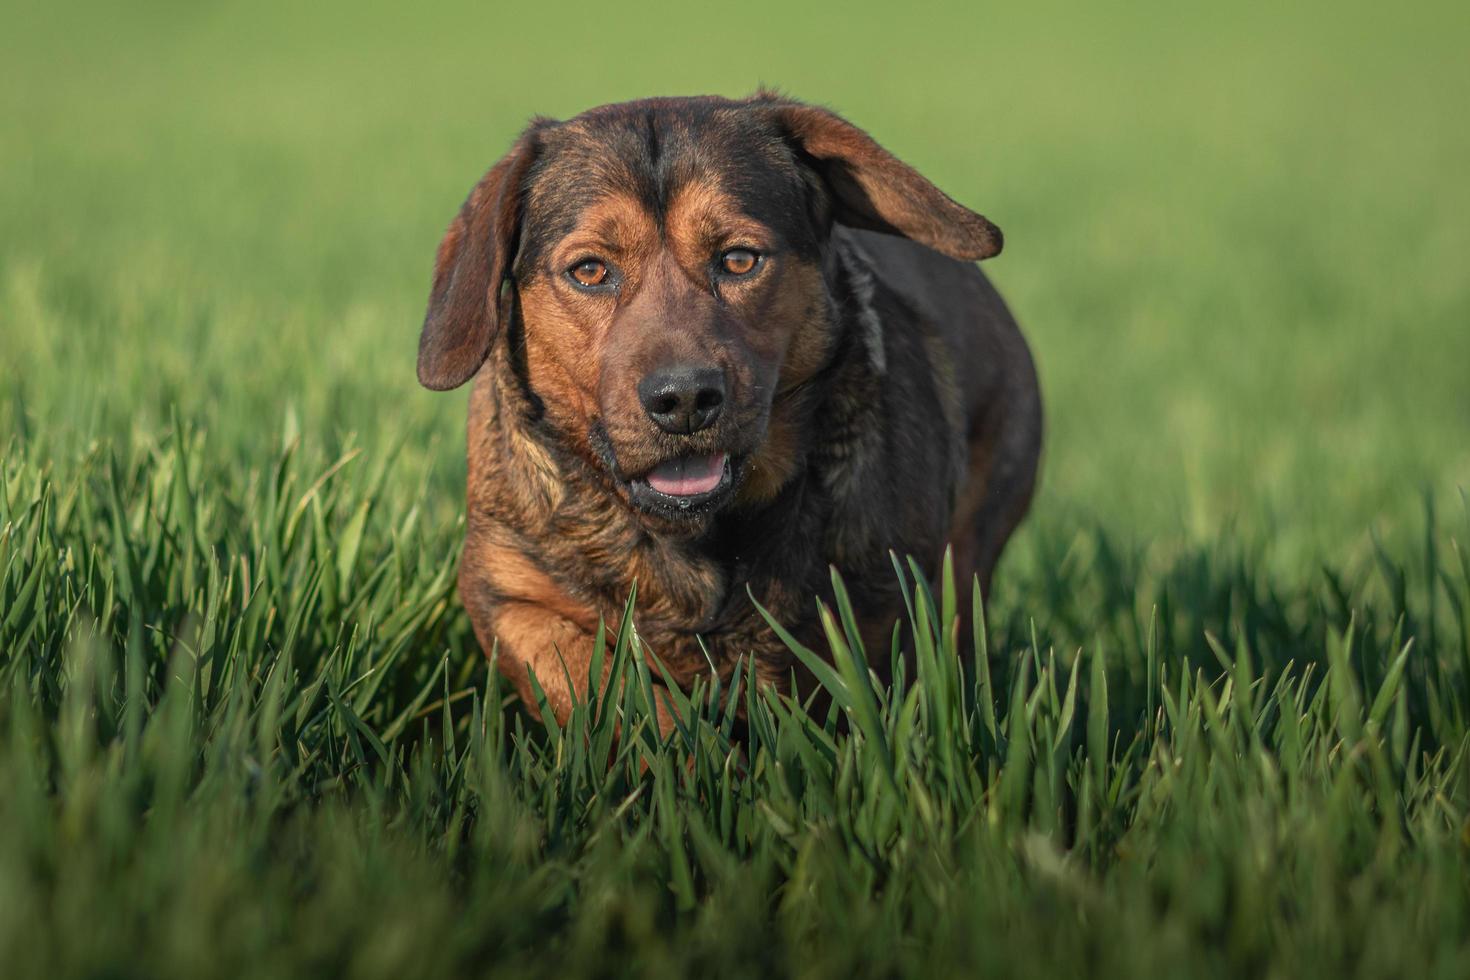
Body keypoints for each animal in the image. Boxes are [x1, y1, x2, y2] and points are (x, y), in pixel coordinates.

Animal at [417, 94, 1046, 728]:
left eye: (739, 259)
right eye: (590, 271)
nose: (684, 400)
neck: (696, 537)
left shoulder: (892, 611)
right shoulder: (507, 593)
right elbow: (598, 686)